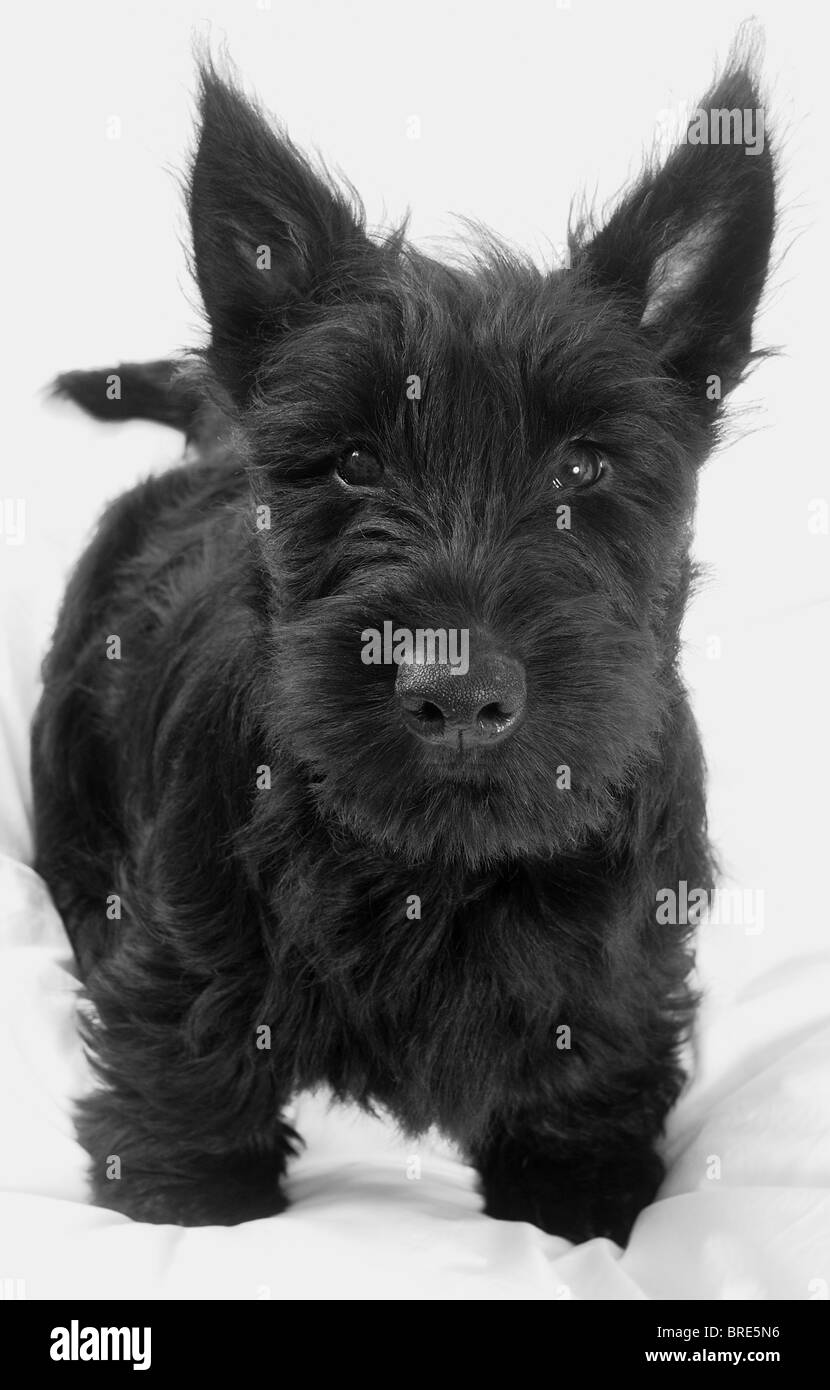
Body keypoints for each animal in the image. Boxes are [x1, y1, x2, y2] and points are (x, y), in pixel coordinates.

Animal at [30, 48, 772, 1245]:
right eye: (352, 460)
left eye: (581, 467)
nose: (457, 693)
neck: (439, 864)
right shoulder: (185, 948)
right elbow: (188, 1080)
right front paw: (193, 1190)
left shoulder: (621, 972)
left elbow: (587, 1079)